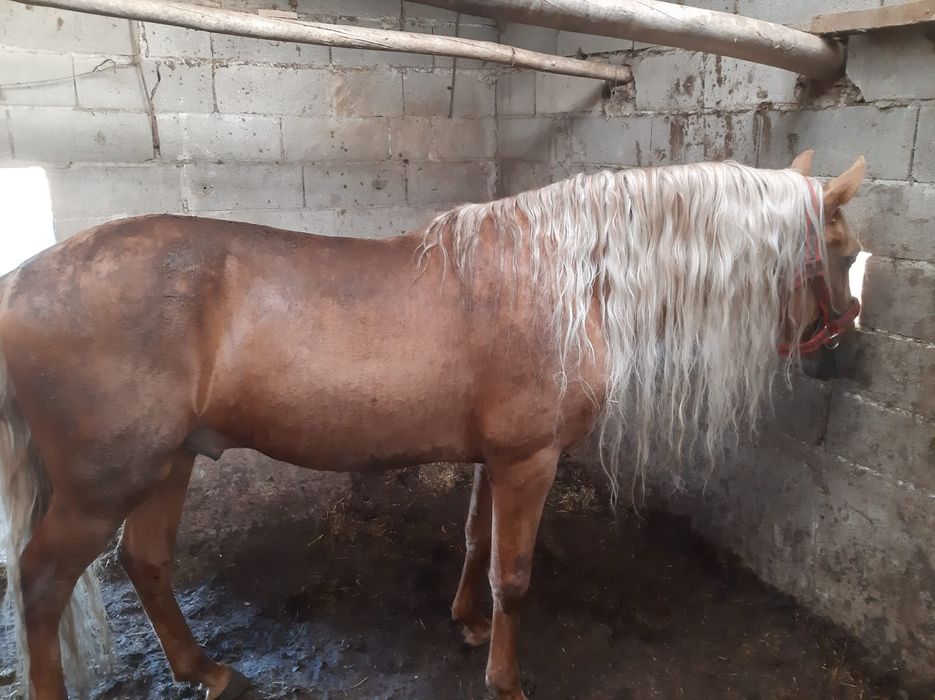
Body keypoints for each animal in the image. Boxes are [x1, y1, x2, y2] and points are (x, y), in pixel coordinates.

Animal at [0, 150, 865, 700]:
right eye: (840, 246)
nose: (846, 355)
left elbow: (477, 542)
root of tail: (21, 280)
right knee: (40, 583)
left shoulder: (497, 457)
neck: (562, 279)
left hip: (169, 462)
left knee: (145, 562)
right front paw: (506, 681)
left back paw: (207, 672)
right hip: (101, 487)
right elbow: (514, 574)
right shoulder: (530, 460)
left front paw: (468, 624)